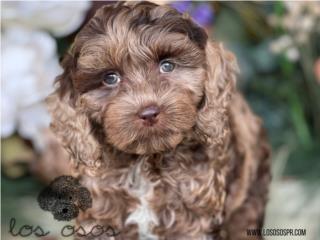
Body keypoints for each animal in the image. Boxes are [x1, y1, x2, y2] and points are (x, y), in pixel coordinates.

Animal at [47, 0, 270, 239]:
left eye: (167, 66)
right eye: (110, 78)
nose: (149, 113)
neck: (145, 161)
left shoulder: (193, 220)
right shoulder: (99, 217)